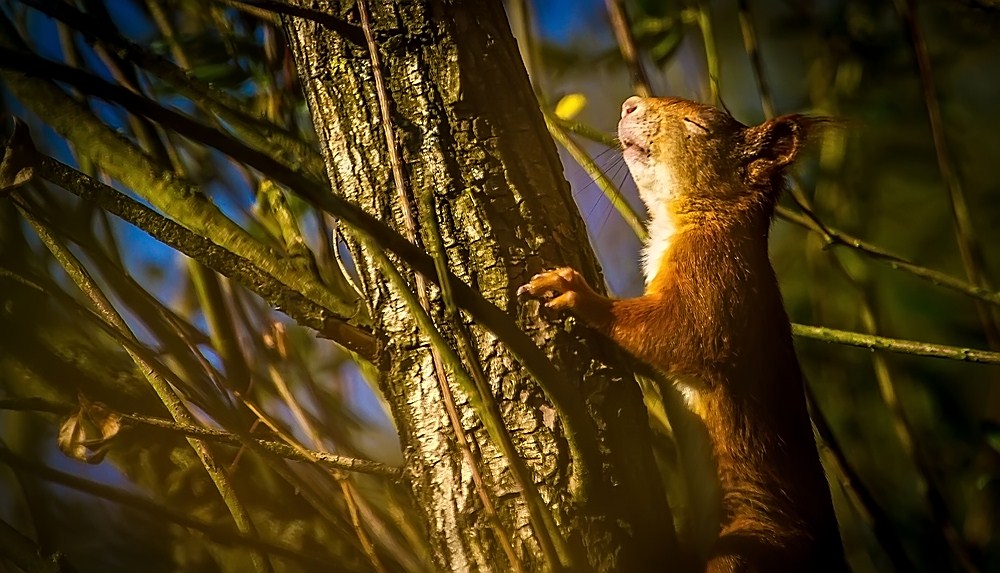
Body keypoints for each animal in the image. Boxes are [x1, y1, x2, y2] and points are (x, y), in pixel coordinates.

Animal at [520, 96, 848, 568]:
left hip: (749, 547)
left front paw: (576, 293)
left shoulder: (716, 279)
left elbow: (683, 336)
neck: (704, 219)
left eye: (697, 125)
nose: (629, 104)